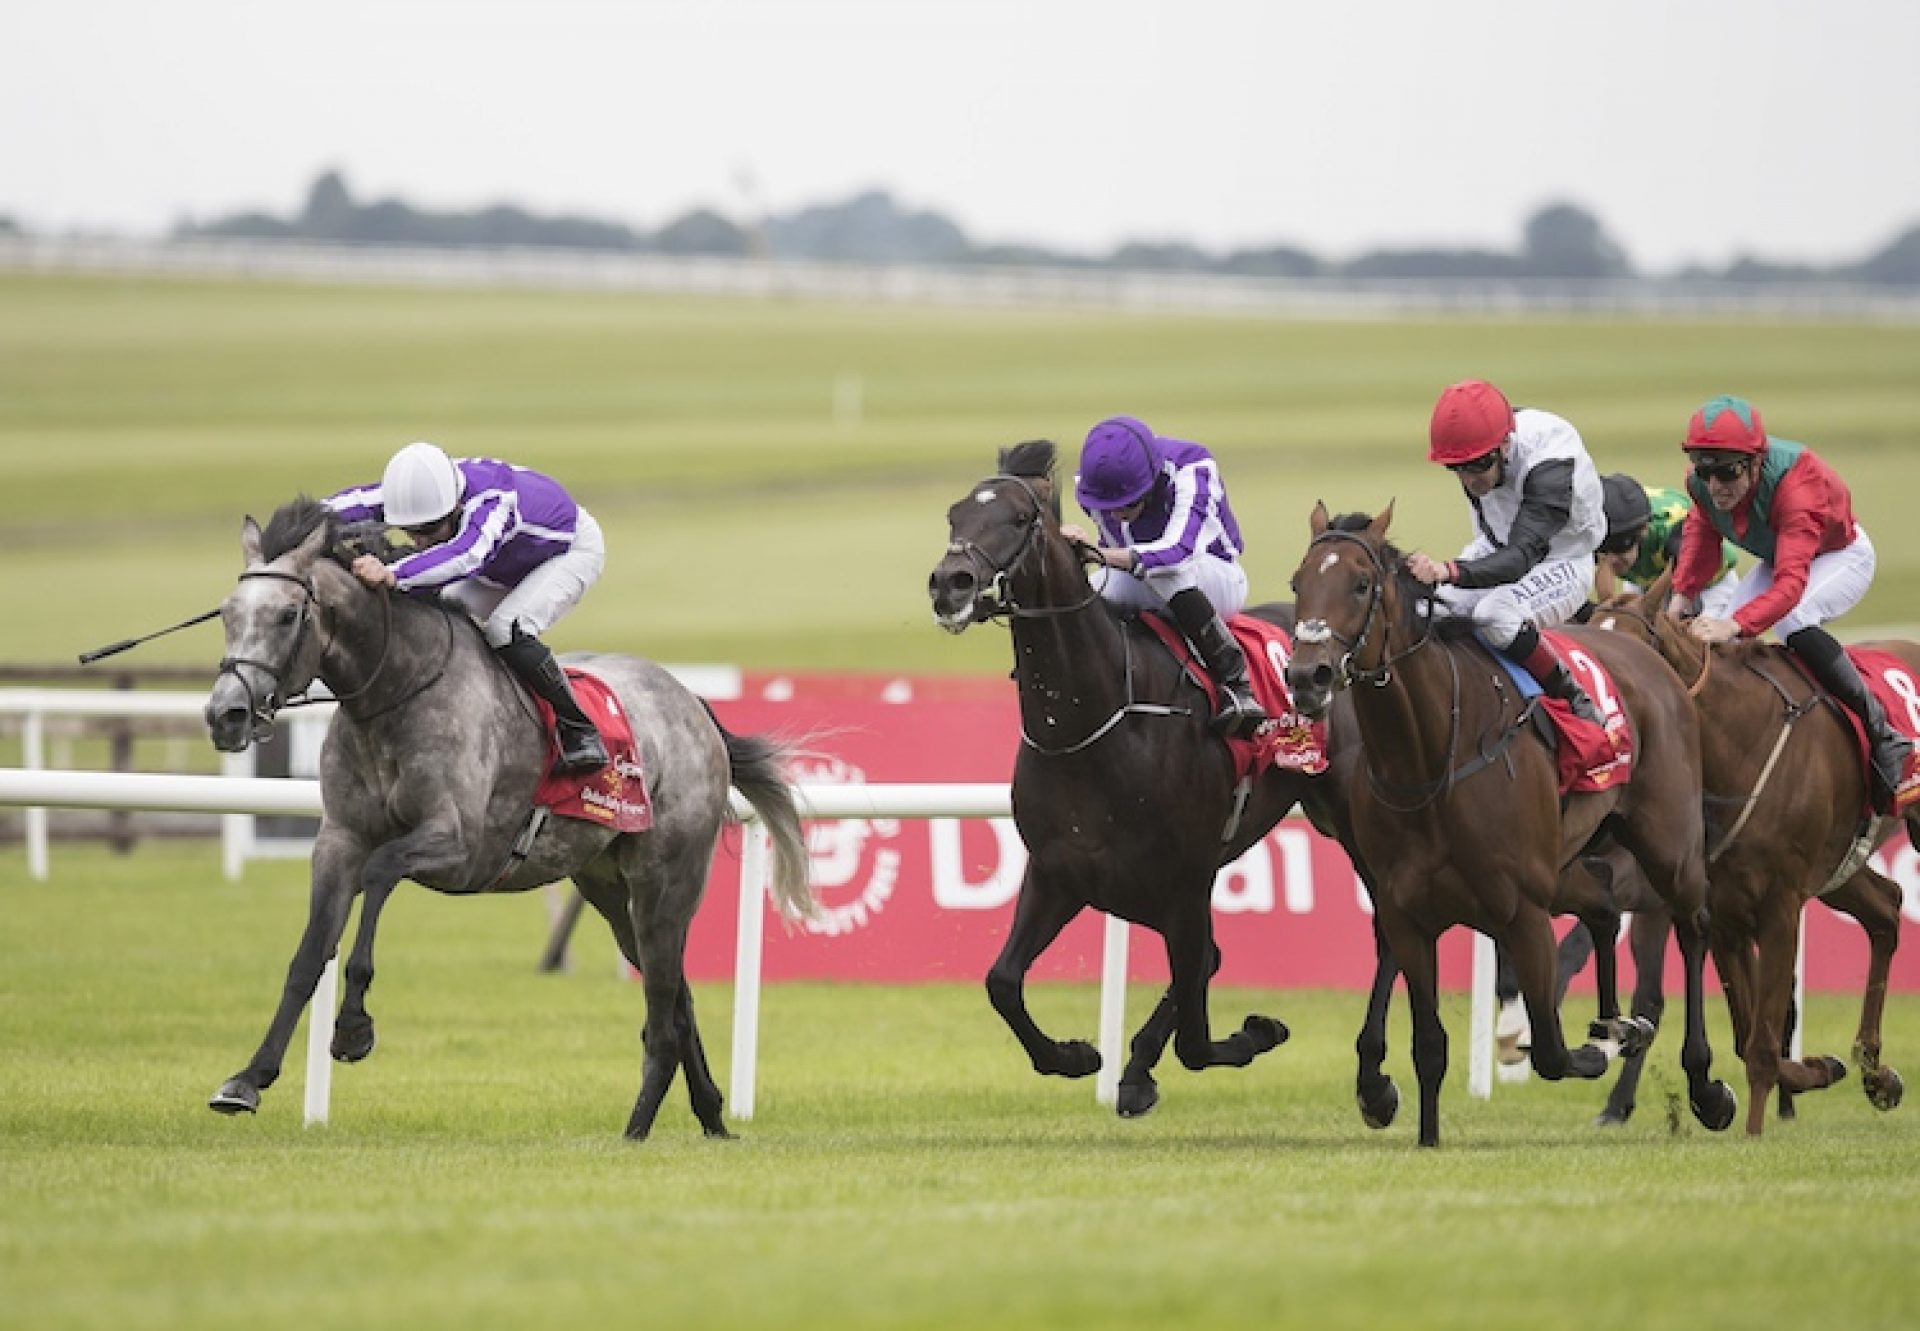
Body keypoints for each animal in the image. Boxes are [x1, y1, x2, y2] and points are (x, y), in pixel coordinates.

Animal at [200, 491, 810, 1137]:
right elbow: (308, 955)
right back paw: (711, 1116)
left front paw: (353, 1030)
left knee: (665, 1010)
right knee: (676, 998)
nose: (226, 714)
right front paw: (247, 1079)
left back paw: (637, 1129)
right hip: (608, 888)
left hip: (666, 881)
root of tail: (692, 702)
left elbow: (381, 872)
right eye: (227, 614)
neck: (397, 690)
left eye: (288, 615)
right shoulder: (338, 841)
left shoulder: (458, 845)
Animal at [1282, 503, 1735, 1144]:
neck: (1430, 758)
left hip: (1667, 845)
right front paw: (1422, 1133)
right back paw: (1615, 1022)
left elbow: (1550, 1049)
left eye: (1361, 584)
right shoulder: (1405, 913)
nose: (1307, 676)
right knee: (1602, 907)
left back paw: (1703, 1084)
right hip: (1573, 861)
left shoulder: (1521, 910)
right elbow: (1429, 1044)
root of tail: (1654, 660)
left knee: (1694, 929)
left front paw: (1599, 1045)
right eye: (1298, 583)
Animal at [1589, 572, 1904, 1129]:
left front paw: (1755, 1130)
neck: (1734, 748)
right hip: (1838, 868)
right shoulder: (1726, 912)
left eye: (1627, 655)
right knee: (1887, 909)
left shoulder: (1780, 905)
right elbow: (1752, 1037)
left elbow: (1761, 1046)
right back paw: (1875, 1072)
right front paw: (1817, 1070)